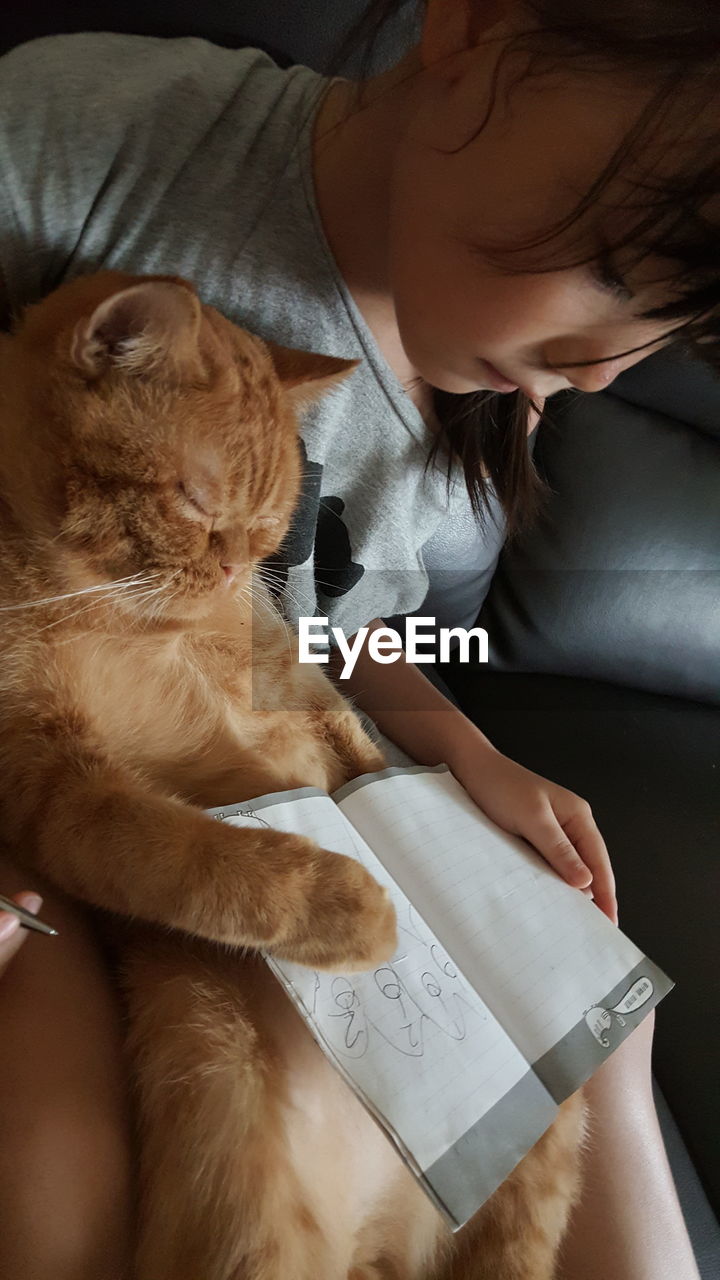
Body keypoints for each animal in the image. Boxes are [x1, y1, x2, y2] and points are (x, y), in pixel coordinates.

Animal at [0, 275, 579, 1280]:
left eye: (272, 529)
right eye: (195, 502)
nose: (237, 567)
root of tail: (395, 1239)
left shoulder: (293, 681)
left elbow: (349, 745)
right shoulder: (47, 781)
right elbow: (191, 853)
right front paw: (352, 903)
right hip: (254, 1231)